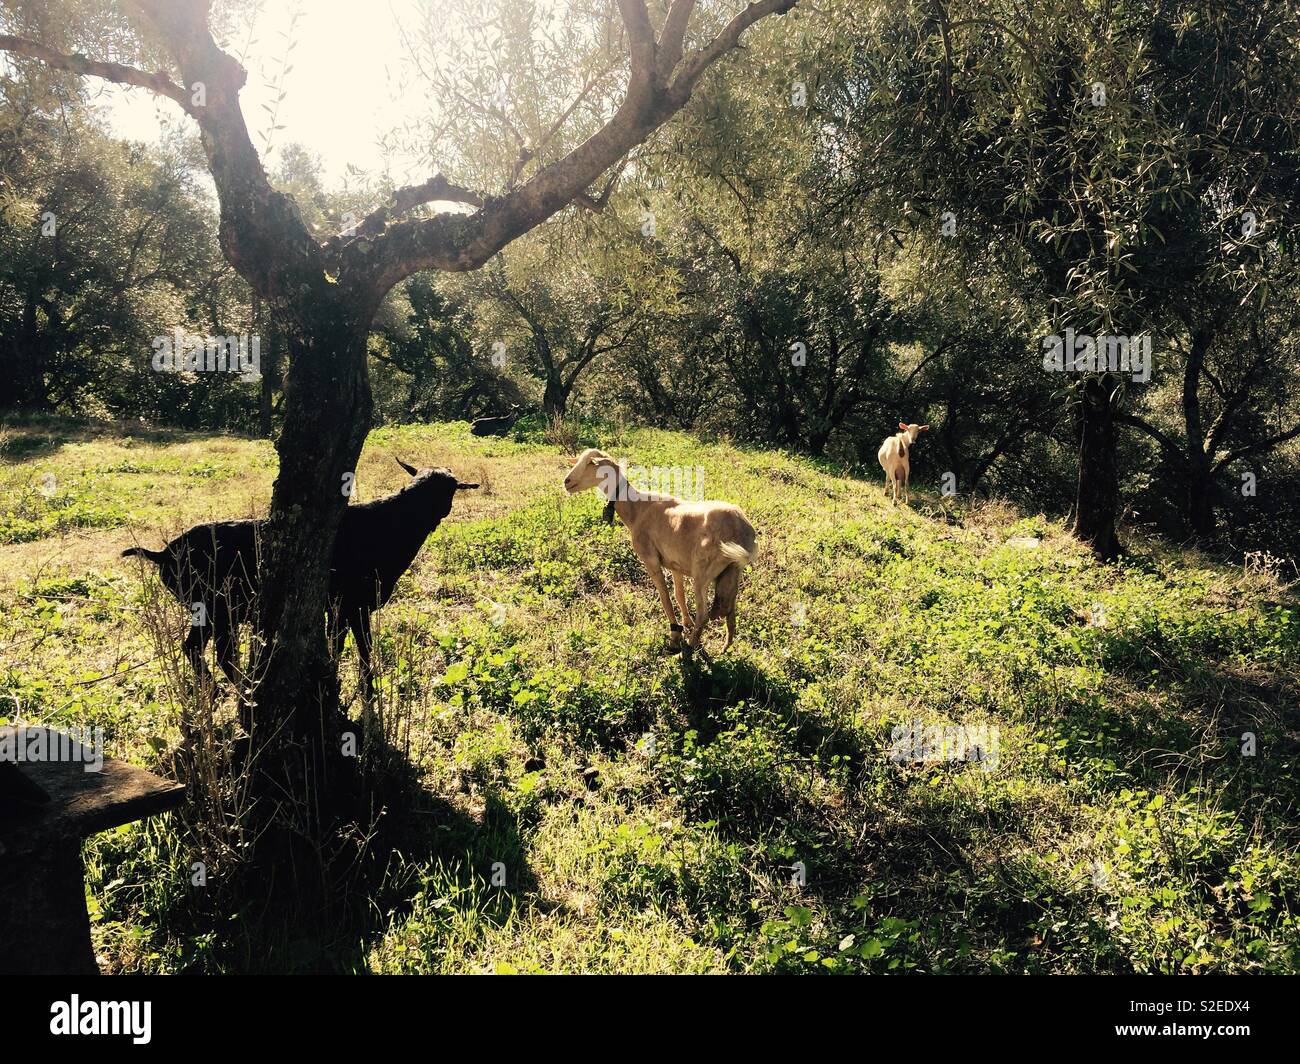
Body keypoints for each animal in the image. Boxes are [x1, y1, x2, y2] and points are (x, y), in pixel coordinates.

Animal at [120, 455, 478, 697]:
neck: (391, 526)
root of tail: (164, 553)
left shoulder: (342, 610)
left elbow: (344, 646)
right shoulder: (353, 606)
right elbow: (358, 649)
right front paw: (363, 689)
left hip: (210, 611)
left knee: (197, 649)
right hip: (217, 608)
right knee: (217, 652)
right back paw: (241, 689)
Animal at [564, 444, 759, 650]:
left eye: (591, 463)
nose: (566, 482)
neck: (636, 509)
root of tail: (742, 530)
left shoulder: (650, 559)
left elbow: (665, 597)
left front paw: (675, 635)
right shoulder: (675, 563)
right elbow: (679, 594)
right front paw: (686, 622)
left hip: (703, 572)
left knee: (704, 615)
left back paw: (689, 647)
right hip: (732, 572)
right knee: (730, 611)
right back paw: (725, 647)